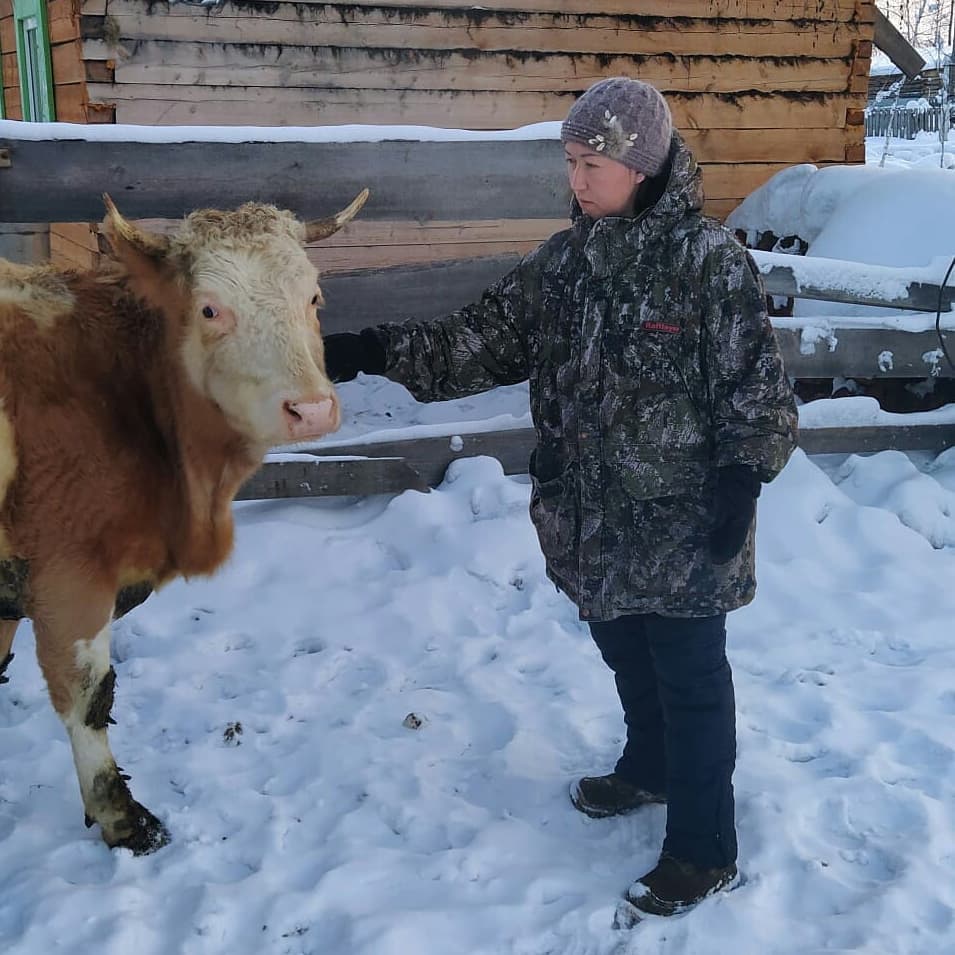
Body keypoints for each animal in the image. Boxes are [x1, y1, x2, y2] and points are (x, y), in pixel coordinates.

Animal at [0, 190, 368, 856]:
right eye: (209, 308)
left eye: (313, 297)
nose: (311, 409)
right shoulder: (67, 572)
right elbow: (88, 696)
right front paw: (125, 820)